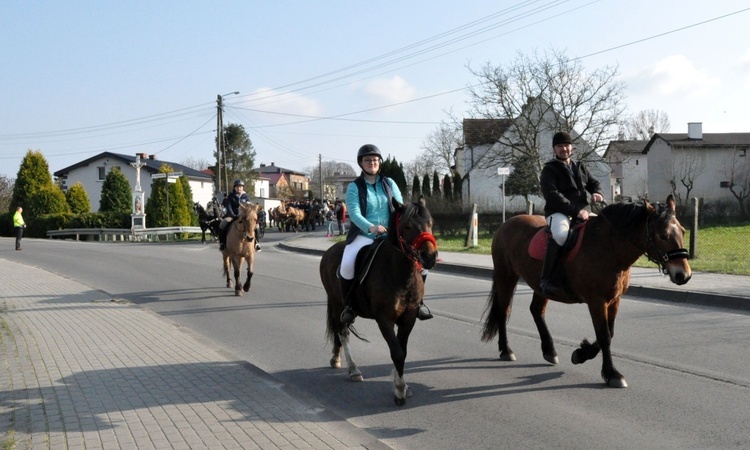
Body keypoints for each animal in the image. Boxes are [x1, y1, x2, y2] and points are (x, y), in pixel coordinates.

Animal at [484, 195, 692, 388]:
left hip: (538, 286)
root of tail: (506, 224)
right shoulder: (596, 301)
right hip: (506, 276)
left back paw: (549, 351)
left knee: (536, 310)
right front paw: (611, 374)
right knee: (503, 311)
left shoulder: (614, 300)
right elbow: (604, 336)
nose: (684, 275)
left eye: (682, 231)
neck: (608, 247)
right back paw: (506, 350)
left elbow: (609, 332)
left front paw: (581, 354)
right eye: (662, 235)